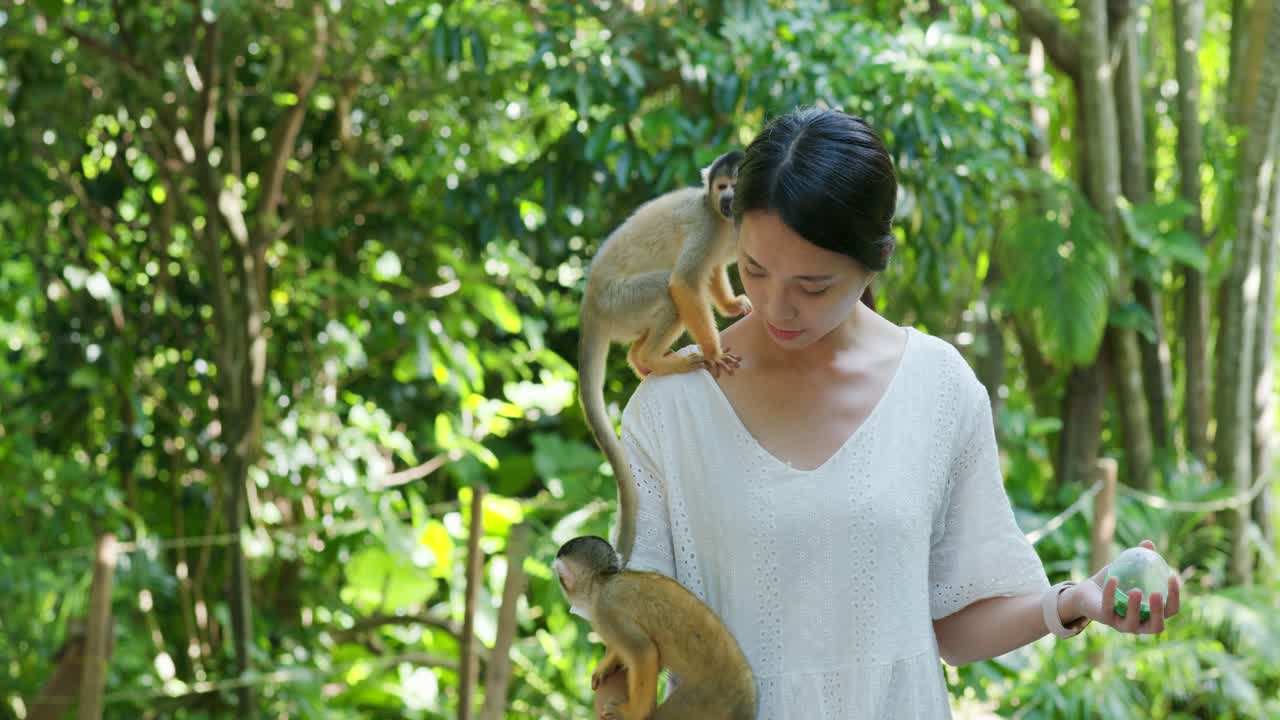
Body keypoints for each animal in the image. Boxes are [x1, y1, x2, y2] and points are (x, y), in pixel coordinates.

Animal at [553, 535, 757, 720]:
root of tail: (747, 697)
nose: (560, 585)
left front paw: (631, 714)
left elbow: (644, 652)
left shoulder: (607, 612)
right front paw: (608, 664)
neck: (604, 582)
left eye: (560, 578)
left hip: (707, 700)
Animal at [578, 150, 750, 565]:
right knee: (666, 289)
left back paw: (640, 360)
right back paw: (654, 359)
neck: (726, 222)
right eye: (723, 187)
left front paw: (732, 305)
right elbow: (685, 283)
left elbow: (711, 272)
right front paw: (714, 353)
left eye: (737, 186)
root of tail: (590, 303)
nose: (727, 199)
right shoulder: (708, 225)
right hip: (620, 301)